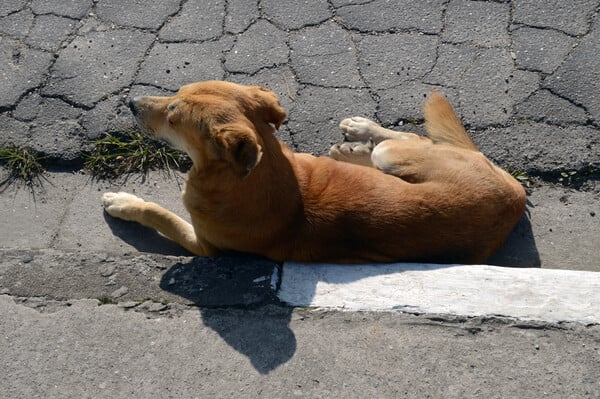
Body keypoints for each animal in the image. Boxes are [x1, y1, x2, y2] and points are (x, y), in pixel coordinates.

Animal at [103, 81, 524, 264]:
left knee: (404, 138)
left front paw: (122, 202)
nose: (130, 102)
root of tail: (516, 194)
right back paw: (355, 137)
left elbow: (159, 214)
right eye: (175, 93)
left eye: (173, 115)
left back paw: (358, 140)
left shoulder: (205, 246)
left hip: (393, 155)